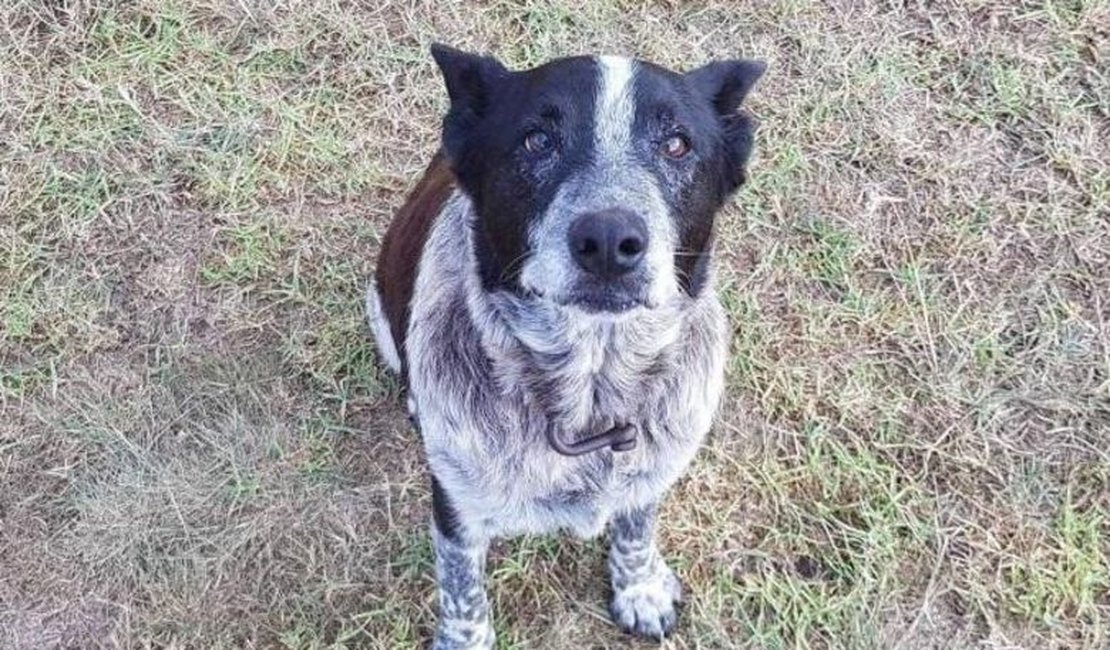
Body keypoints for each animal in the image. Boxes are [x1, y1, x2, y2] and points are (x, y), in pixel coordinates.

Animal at [364, 42, 763, 643]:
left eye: (676, 144)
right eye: (537, 140)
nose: (609, 240)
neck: (589, 394)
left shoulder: (650, 472)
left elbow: (636, 527)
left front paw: (639, 588)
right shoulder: (457, 503)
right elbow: (461, 588)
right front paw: (465, 640)